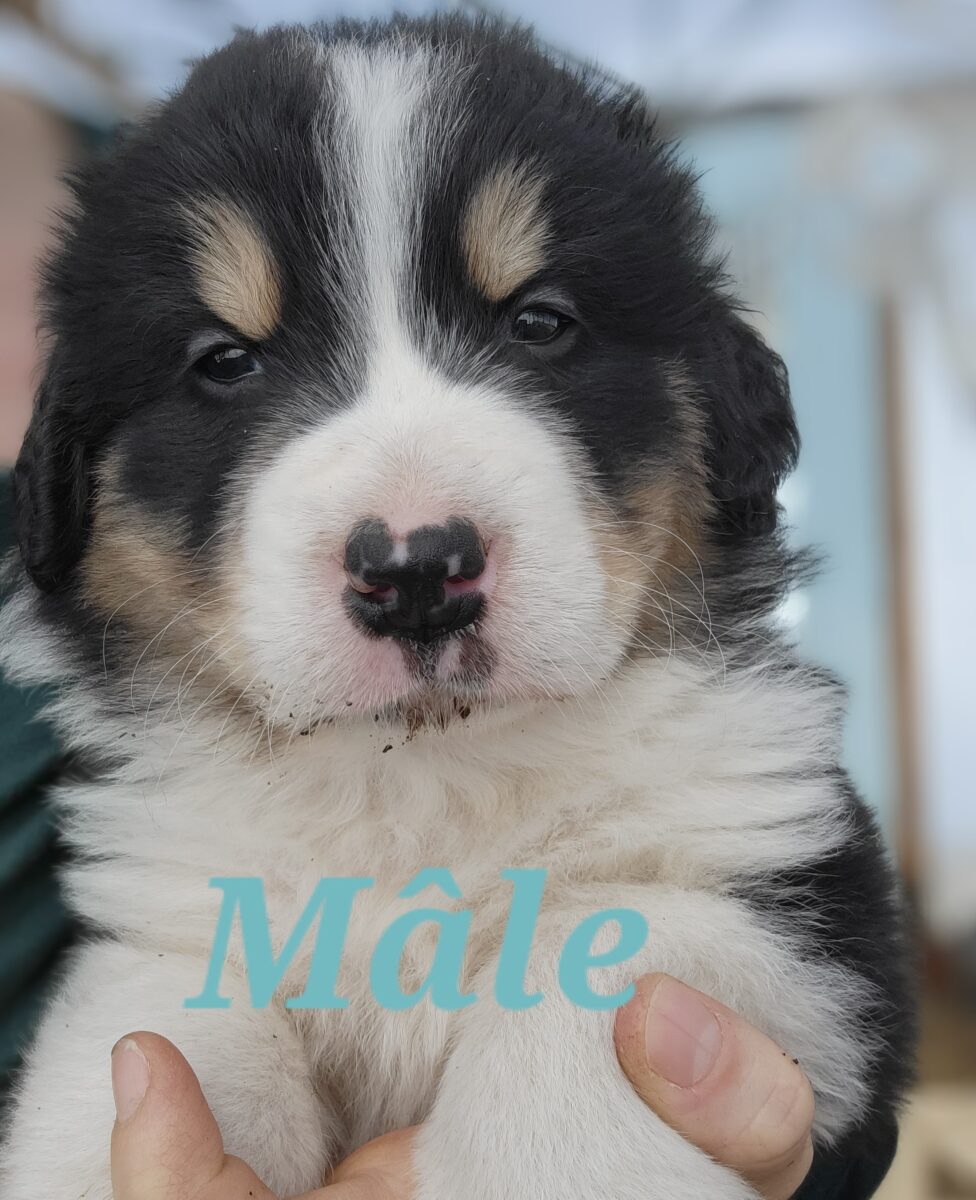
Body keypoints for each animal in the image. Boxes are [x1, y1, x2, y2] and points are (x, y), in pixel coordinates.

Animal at [0, 18, 912, 1200]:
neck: (423, 773)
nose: (418, 570)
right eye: (224, 360)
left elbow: (593, 959)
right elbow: (145, 1042)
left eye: (541, 322)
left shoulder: (797, 899)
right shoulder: (167, 917)